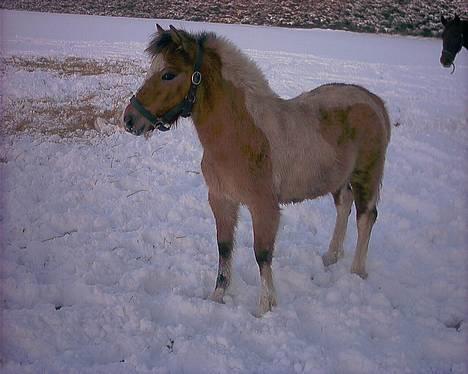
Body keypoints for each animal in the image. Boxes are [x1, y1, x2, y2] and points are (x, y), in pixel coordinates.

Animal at [121, 24, 392, 314]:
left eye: (168, 74)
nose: (129, 119)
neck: (240, 134)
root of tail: (374, 101)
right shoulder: (221, 200)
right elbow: (224, 247)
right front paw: (217, 296)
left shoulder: (263, 207)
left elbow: (261, 254)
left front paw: (265, 307)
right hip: (339, 179)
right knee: (344, 205)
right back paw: (331, 256)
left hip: (366, 175)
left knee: (366, 217)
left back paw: (357, 272)